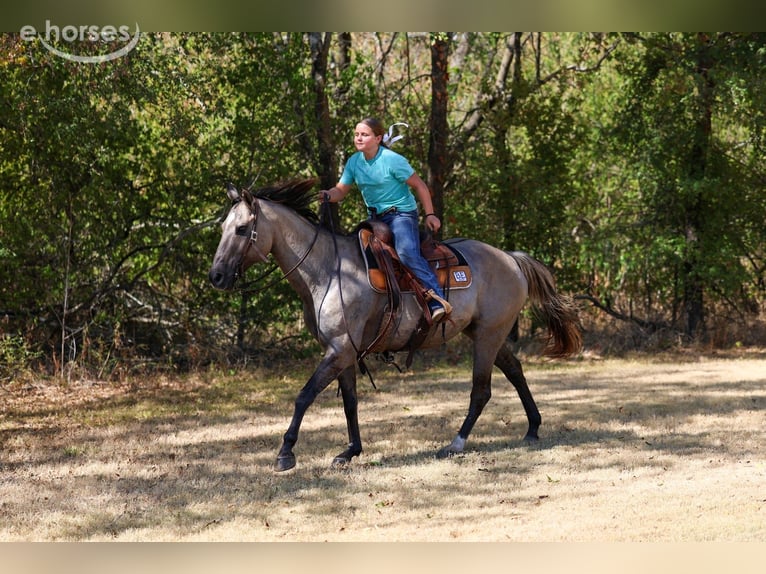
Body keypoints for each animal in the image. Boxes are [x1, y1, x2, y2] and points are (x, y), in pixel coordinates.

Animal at [209, 178, 582, 472]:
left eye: (241, 229)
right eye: (223, 228)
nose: (217, 276)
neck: (328, 270)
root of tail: (511, 258)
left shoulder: (339, 349)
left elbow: (304, 395)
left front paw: (286, 452)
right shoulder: (344, 352)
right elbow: (349, 402)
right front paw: (350, 451)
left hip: (488, 336)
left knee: (481, 390)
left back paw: (456, 443)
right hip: (488, 333)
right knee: (515, 370)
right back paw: (532, 428)